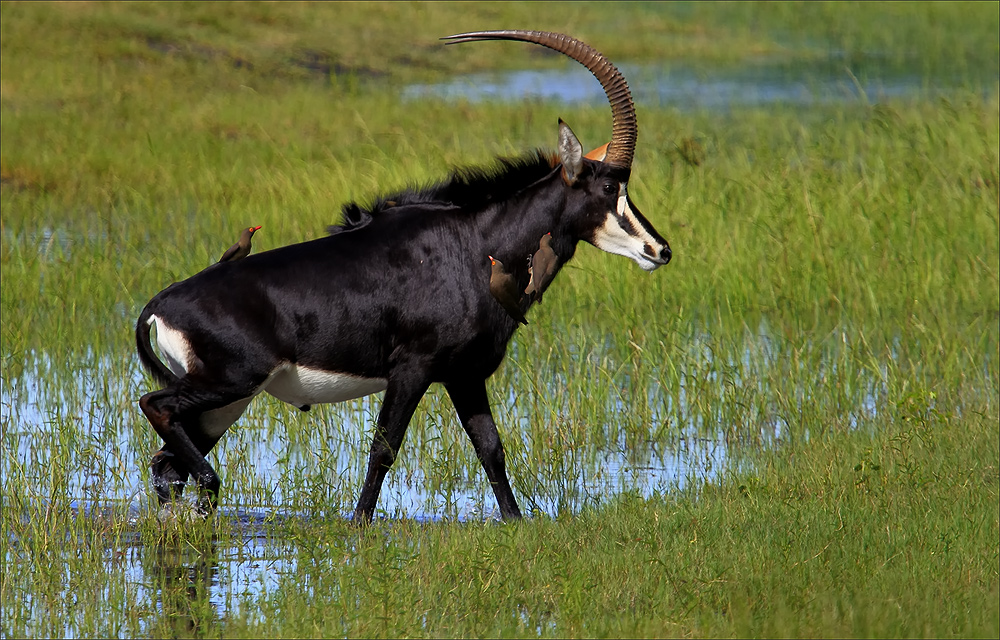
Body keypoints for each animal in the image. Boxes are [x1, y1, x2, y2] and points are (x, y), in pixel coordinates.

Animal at [135, 27, 672, 524]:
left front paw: (517, 524)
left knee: (168, 464)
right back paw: (207, 488)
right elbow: (384, 448)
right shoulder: (413, 369)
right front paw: (358, 526)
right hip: (229, 383)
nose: (660, 250)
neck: (474, 246)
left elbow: (491, 449)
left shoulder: (463, 374)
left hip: (226, 402)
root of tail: (160, 306)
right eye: (608, 187)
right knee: (157, 409)